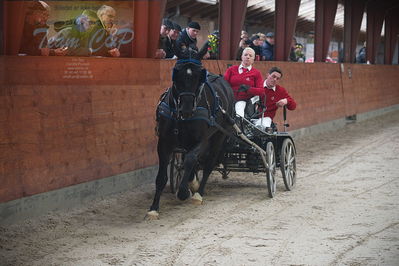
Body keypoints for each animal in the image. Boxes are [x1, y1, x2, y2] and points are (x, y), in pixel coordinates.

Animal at [146, 53, 234, 218]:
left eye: (198, 78)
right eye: (177, 76)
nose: (186, 108)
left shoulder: (202, 141)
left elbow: (190, 160)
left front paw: (183, 192)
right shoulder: (164, 142)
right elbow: (162, 176)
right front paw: (153, 208)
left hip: (219, 136)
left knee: (208, 164)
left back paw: (198, 193)